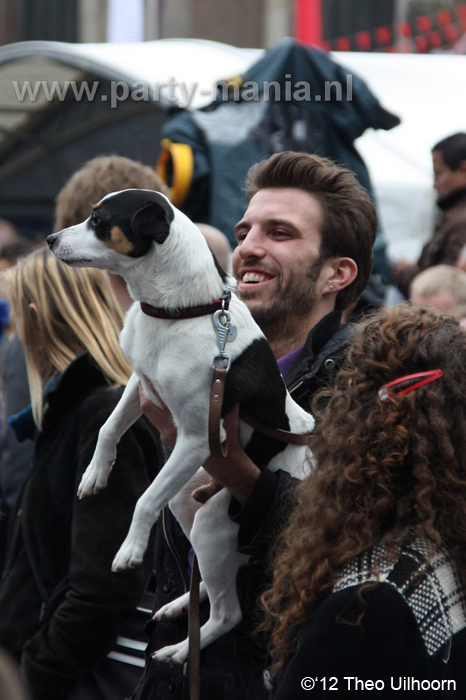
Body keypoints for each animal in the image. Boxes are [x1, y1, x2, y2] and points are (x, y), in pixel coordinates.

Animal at [47, 190, 314, 660]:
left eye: (98, 220)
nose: (49, 239)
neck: (180, 311)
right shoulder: (140, 382)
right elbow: (108, 428)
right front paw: (95, 475)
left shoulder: (197, 439)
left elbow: (142, 501)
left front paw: (130, 549)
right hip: (185, 500)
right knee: (208, 581)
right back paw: (178, 607)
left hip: (210, 520)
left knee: (228, 612)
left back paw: (181, 651)